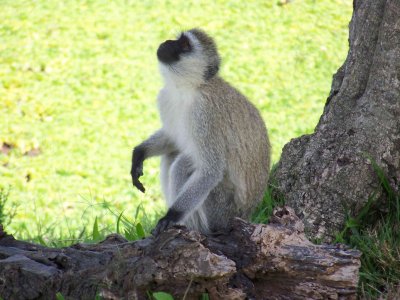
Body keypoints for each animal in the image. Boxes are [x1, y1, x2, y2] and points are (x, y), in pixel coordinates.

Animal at [131, 28, 272, 234]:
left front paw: (170, 216)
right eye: (178, 39)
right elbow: (172, 138)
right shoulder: (166, 98)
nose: (167, 42)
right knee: (172, 156)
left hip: (221, 211)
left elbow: (210, 170)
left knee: (183, 163)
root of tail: (246, 215)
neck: (187, 89)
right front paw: (139, 153)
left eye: (185, 45)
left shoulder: (205, 114)